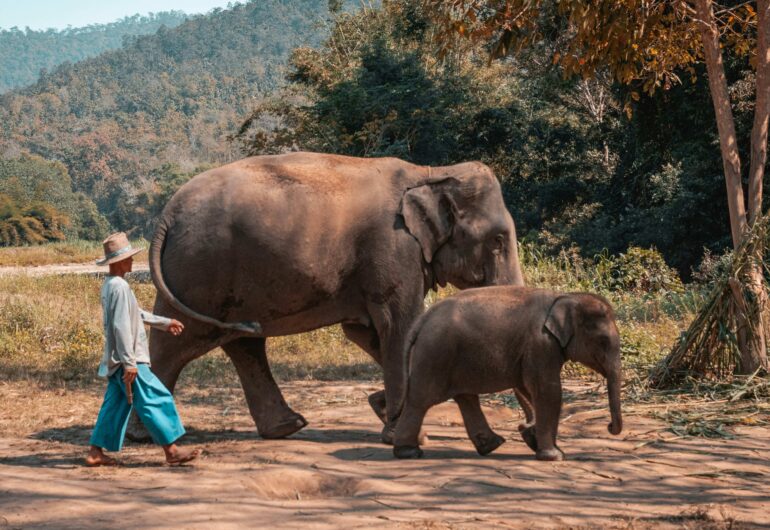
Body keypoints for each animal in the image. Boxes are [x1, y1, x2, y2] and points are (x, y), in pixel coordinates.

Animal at [137, 151, 524, 442]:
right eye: (498, 240)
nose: (524, 430)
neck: (431, 172)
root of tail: (166, 216)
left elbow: (366, 332)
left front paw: (384, 409)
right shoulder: (393, 249)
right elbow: (399, 325)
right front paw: (401, 431)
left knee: (242, 343)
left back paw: (287, 427)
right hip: (200, 272)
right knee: (176, 342)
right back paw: (146, 436)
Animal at [392, 286, 623, 461]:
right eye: (603, 342)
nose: (610, 425)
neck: (566, 296)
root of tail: (422, 320)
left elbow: (529, 388)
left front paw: (533, 438)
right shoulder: (541, 344)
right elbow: (548, 391)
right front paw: (554, 456)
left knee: (465, 397)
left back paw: (491, 445)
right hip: (435, 355)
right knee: (420, 400)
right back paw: (408, 452)